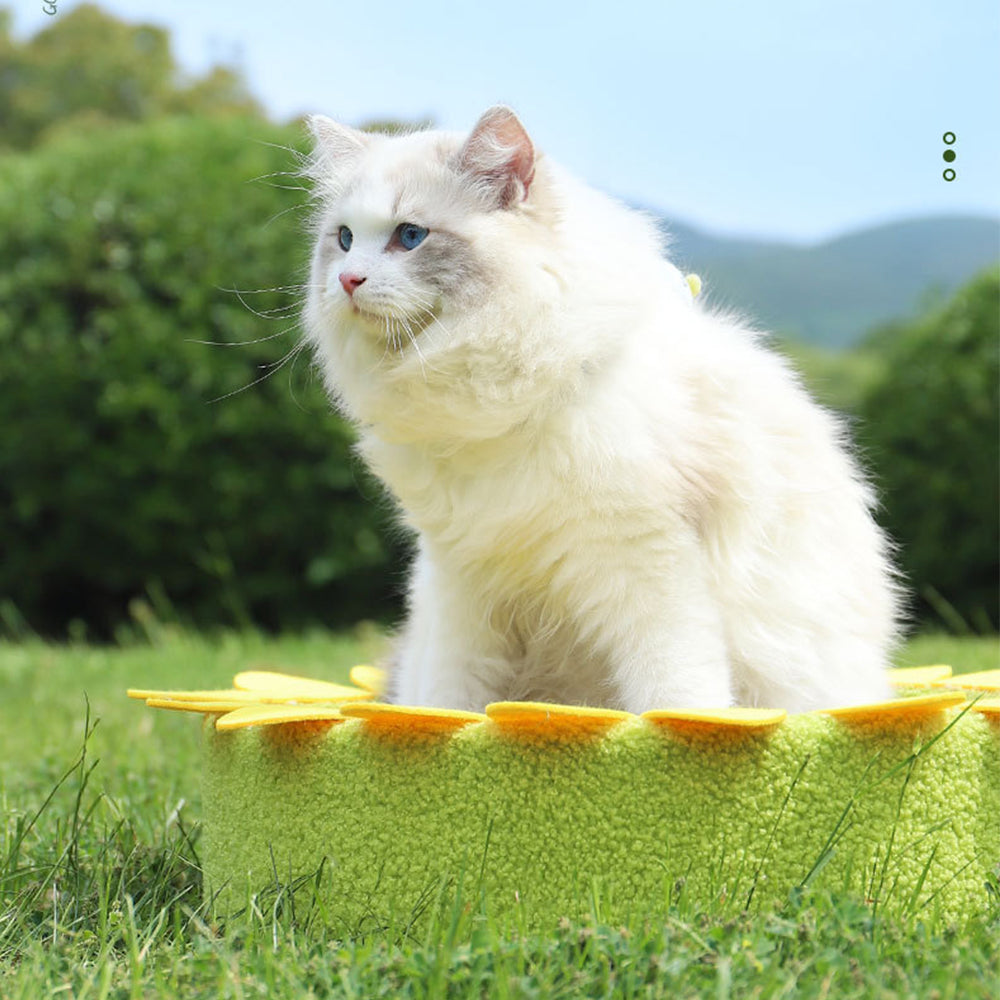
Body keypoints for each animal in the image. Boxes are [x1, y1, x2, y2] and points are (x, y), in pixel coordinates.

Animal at [298, 105, 900, 716]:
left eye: (410, 236)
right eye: (344, 240)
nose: (347, 280)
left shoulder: (648, 557)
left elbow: (676, 682)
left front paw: (683, 727)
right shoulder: (461, 577)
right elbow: (451, 694)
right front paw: (435, 727)